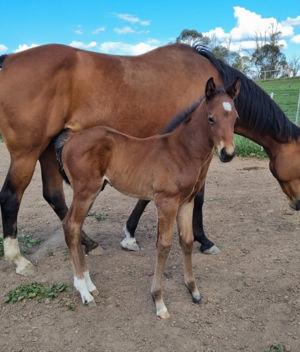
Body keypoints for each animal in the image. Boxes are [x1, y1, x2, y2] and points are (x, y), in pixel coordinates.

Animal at [0, 43, 300, 276]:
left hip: (47, 150)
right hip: (27, 153)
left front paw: (130, 234)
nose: (298, 204)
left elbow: (148, 197)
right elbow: (198, 197)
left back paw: (89, 243)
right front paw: (203, 240)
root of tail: (10, 59)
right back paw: (19, 260)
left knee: (54, 196)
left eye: (235, 117)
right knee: (11, 196)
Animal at [55, 77, 240, 320]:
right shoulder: (166, 202)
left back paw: (90, 284)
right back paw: (84, 292)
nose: (228, 154)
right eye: (211, 118)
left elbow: (187, 241)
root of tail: (72, 137)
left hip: (91, 192)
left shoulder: (186, 202)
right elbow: (164, 245)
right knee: (70, 226)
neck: (182, 151)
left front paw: (194, 291)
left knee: (75, 227)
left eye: (236, 117)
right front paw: (159, 301)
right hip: (85, 191)